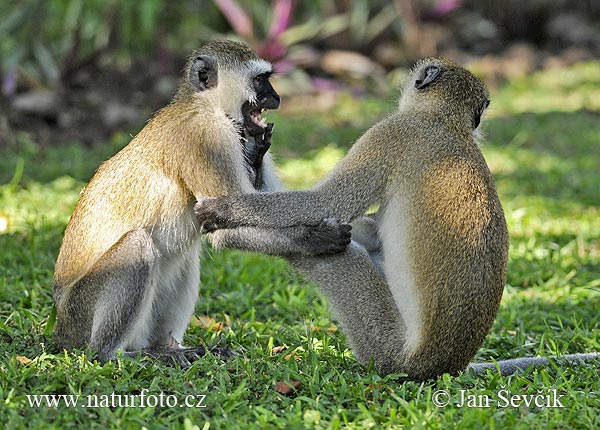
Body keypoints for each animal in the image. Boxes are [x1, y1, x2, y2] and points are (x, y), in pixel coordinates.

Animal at [54, 40, 352, 366]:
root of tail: (61, 329)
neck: (204, 104)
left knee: (185, 258)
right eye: (260, 80)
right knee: (138, 245)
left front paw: (255, 155)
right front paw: (316, 238)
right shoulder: (209, 138)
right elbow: (226, 228)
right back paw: (114, 354)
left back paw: (171, 348)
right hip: (81, 313)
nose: (276, 98)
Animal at [195, 58, 596, 380]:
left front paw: (225, 208)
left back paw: (263, 239)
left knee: (341, 256)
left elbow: (324, 202)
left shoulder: (390, 133)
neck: (443, 121)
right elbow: (366, 227)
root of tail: (442, 367)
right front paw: (254, 152)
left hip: (384, 345)